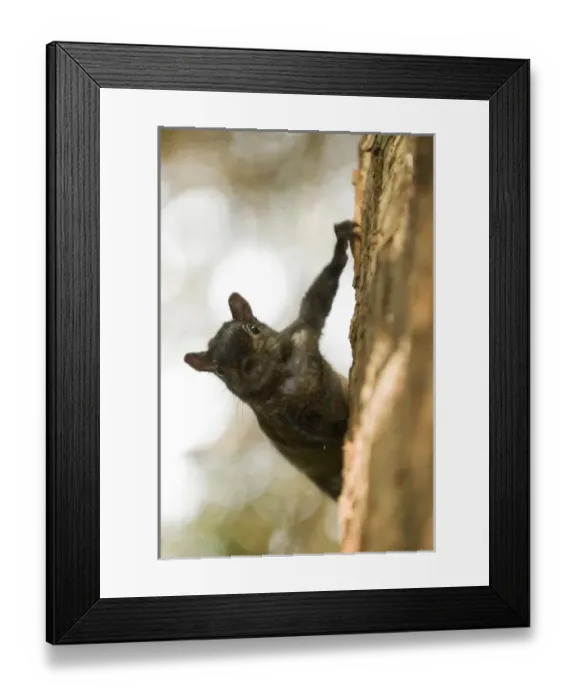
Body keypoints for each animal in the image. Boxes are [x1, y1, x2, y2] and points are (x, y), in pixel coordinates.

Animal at [184, 220, 358, 502]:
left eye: (253, 328)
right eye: (219, 370)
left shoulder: (302, 333)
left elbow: (317, 300)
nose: (249, 365)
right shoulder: (283, 423)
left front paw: (340, 245)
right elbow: (315, 434)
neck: (283, 379)